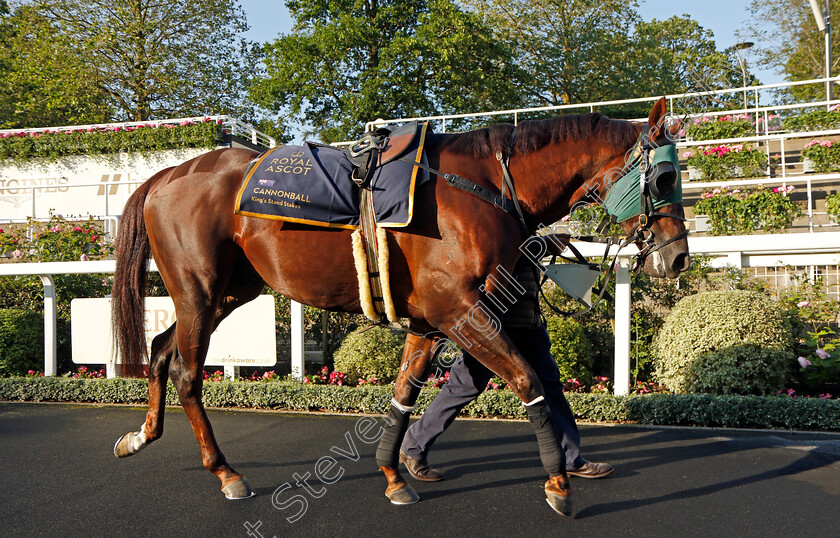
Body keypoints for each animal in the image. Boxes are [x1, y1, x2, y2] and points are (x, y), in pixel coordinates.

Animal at [110, 98, 688, 512]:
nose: (678, 256)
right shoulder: (459, 311)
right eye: (666, 178)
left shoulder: (432, 320)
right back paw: (225, 472)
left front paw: (394, 475)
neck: (481, 187)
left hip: (230, 291)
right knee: (188, 374)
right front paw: (558, 485)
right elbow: (527, 380)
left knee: (161, 350)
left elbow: (404, 395)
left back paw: (141, 435)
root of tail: (165, 176)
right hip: (198, 290)